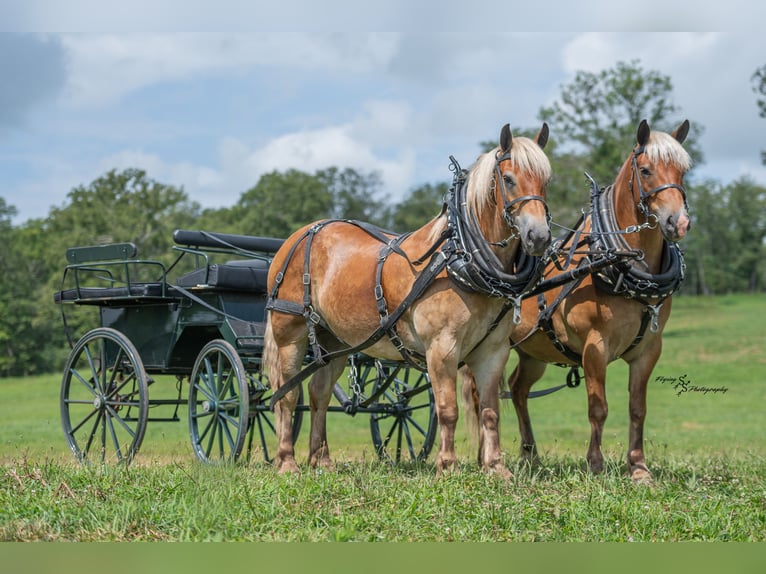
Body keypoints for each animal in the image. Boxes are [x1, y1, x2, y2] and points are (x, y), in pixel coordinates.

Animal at [263, 122, 552, 477]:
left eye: (546, 179)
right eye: (509, 179)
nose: (539, 237)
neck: (459, 259)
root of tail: (299, 235)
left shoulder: (493, 351)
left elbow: (489, 412)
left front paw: (497, 468)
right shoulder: (442, 348)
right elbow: (447, 409)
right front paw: (447, 467)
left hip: (333, 342)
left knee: (319, 394)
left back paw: (323, 461)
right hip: (290, 334)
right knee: (288, 395)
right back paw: (287, 461)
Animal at [461, 119, 692, 482]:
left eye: (683, 170)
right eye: (645, 170)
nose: (678, 222)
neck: (620, 261)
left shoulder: (648, 349)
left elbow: (637, 409)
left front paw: (639, 468)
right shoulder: (594, 347)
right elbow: (598, 408)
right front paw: (595, 464)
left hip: (533, 351)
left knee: (518, 389)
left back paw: (530, 454)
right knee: (479, 394)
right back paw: (486, 457)